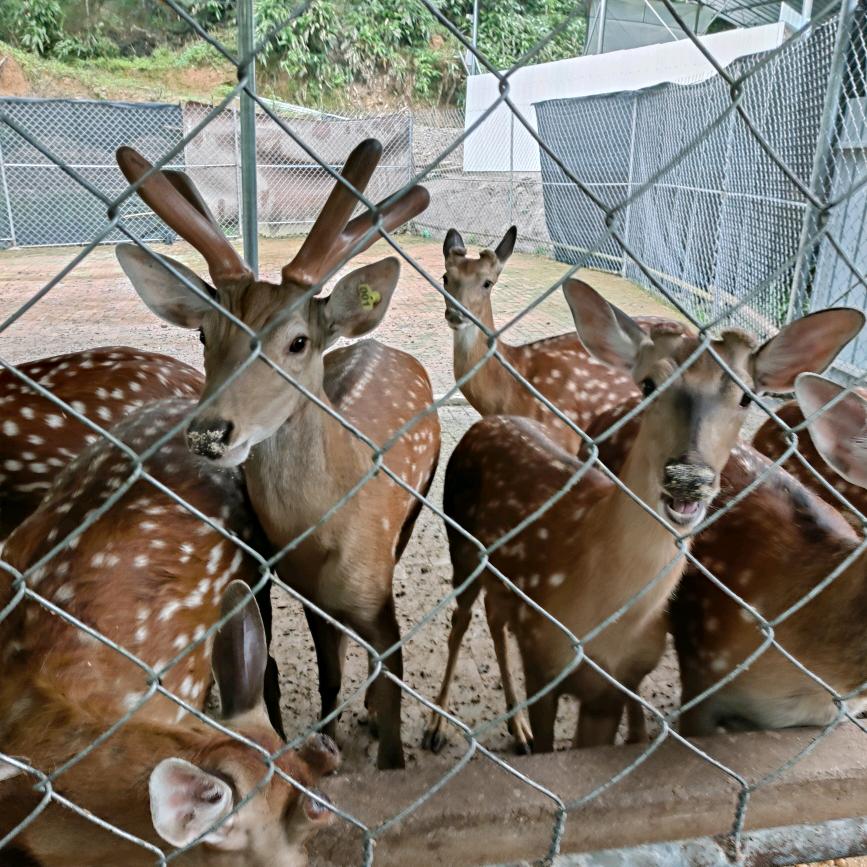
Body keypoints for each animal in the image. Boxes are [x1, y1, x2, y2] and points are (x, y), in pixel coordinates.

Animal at [113, 139, 441, 769]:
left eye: (298, 341)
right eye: (204, 335)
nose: (210, 432)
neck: (326, 538)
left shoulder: (377, 595)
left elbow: (391, 695)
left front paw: (386, 747)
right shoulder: (309, 596)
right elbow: (328, 676)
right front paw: (326, 742)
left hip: (418, 503)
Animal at [422, 279, 861, 754]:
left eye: (746, 395)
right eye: (648, 383)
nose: (688, 477)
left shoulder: (610, 688)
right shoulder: (544, 660)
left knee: (495, 616)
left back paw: (516, 727)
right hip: (463, 545)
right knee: (462, 618)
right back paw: (437, 727)